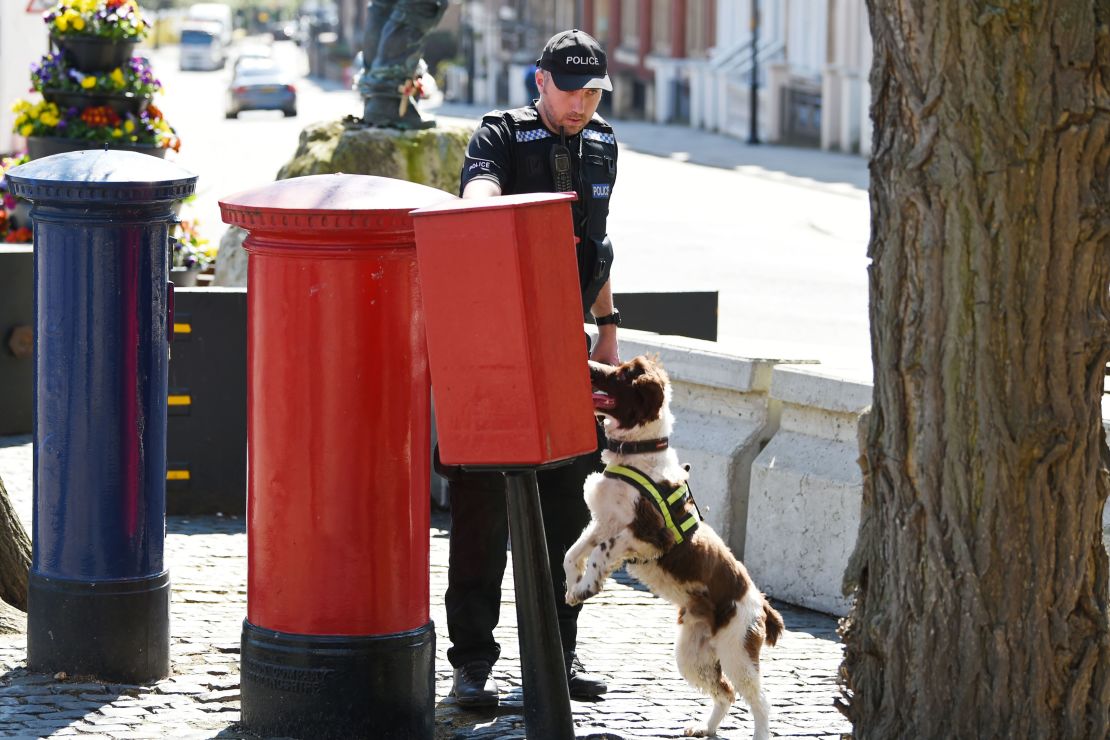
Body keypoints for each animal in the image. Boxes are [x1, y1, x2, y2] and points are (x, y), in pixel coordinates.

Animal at [563, 355, 781, 736]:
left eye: (622, 374)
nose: (589, 364)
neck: (638, 455)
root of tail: (761, 604)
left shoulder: (650, 534)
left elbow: (600, 552)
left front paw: (586, 587)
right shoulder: (603, 521)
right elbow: (573, 552)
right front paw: (573, 583)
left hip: (737, 650)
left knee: (760, 701)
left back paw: (758, 734)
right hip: (694, 653)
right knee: (725, 691)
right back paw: (705, 728)